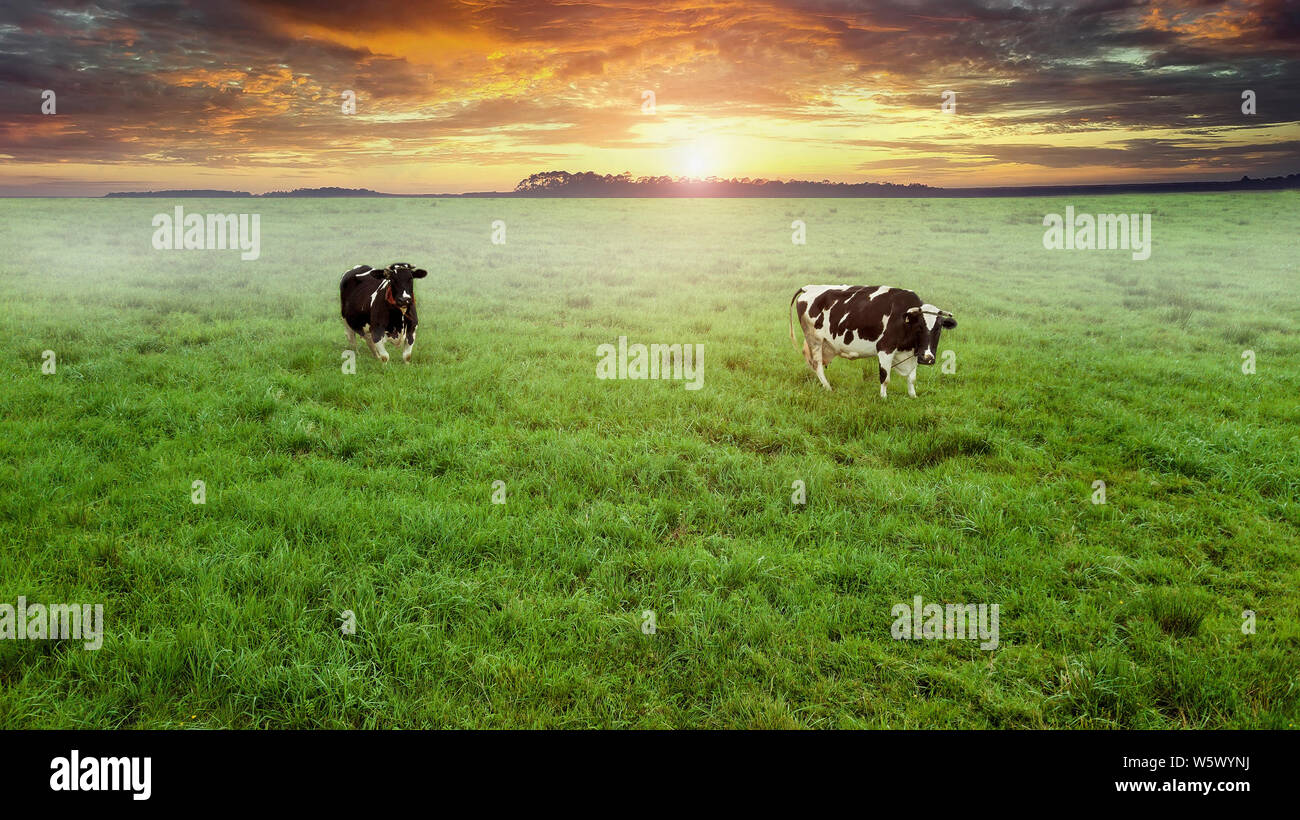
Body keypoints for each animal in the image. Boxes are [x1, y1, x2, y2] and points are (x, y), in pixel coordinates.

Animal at [789, 285, 956, 397]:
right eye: (919, 326)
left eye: (938, 328)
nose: (928, 358)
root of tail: (809, 287)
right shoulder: (885, 348)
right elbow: (885, 377)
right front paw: (883, 398)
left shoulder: (914, 353)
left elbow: (912, 378)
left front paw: (913, 396)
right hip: (815, 339)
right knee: (817, 365)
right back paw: (827, 387)